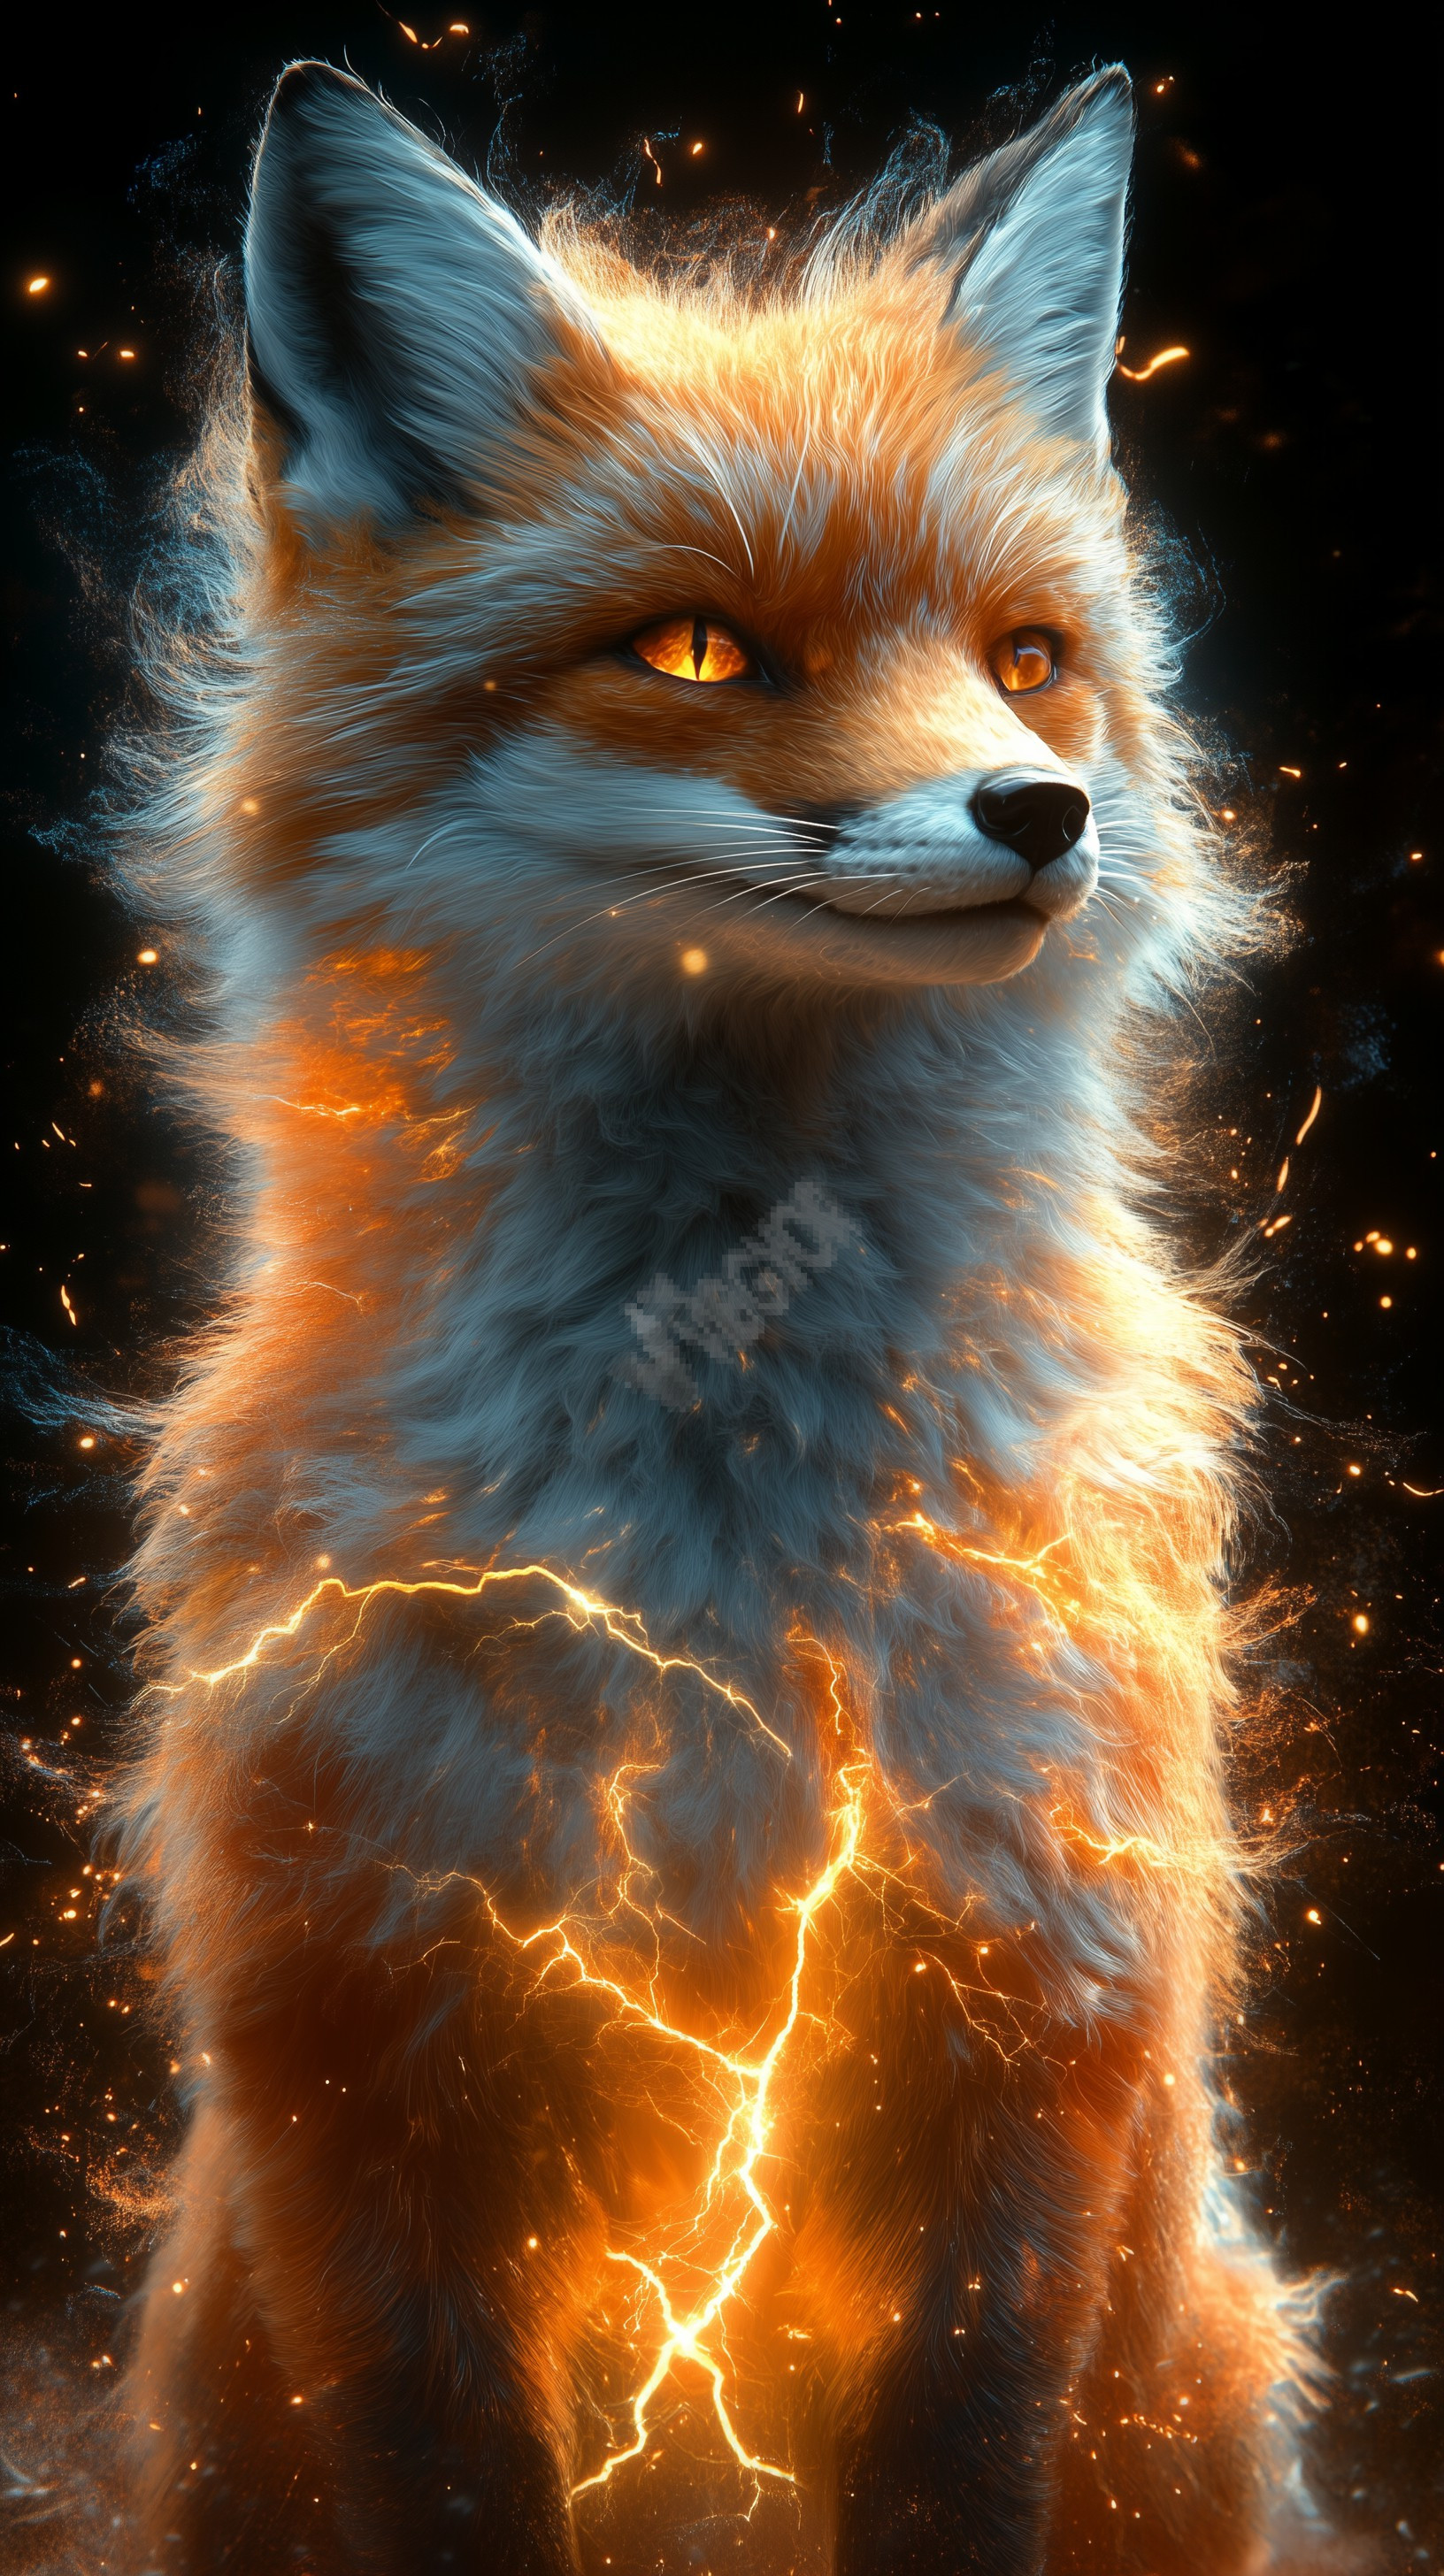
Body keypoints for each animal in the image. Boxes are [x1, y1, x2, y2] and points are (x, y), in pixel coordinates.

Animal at [111, 54, 1348, 2576]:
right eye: (693, 653)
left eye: (1029, 652)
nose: (1043, 811)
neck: (725, 1550)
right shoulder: (368, 2044)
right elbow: (452, 2486)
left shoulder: (1019, 2022)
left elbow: (960, 2469)